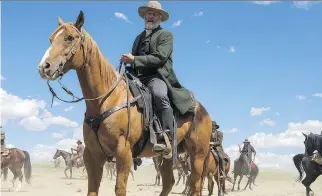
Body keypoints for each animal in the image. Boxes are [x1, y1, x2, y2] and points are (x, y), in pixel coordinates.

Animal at [37, 10, 211, 196]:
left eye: (69, 38)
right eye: (51, 39)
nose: (44, 67)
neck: (105, 100)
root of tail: (204, 112)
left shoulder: (123, 153)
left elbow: (120, 188)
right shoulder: (92, 155)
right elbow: (92, 189)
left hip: (197, 156)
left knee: (195, 185)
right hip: (165, 157)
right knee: (168, 183)